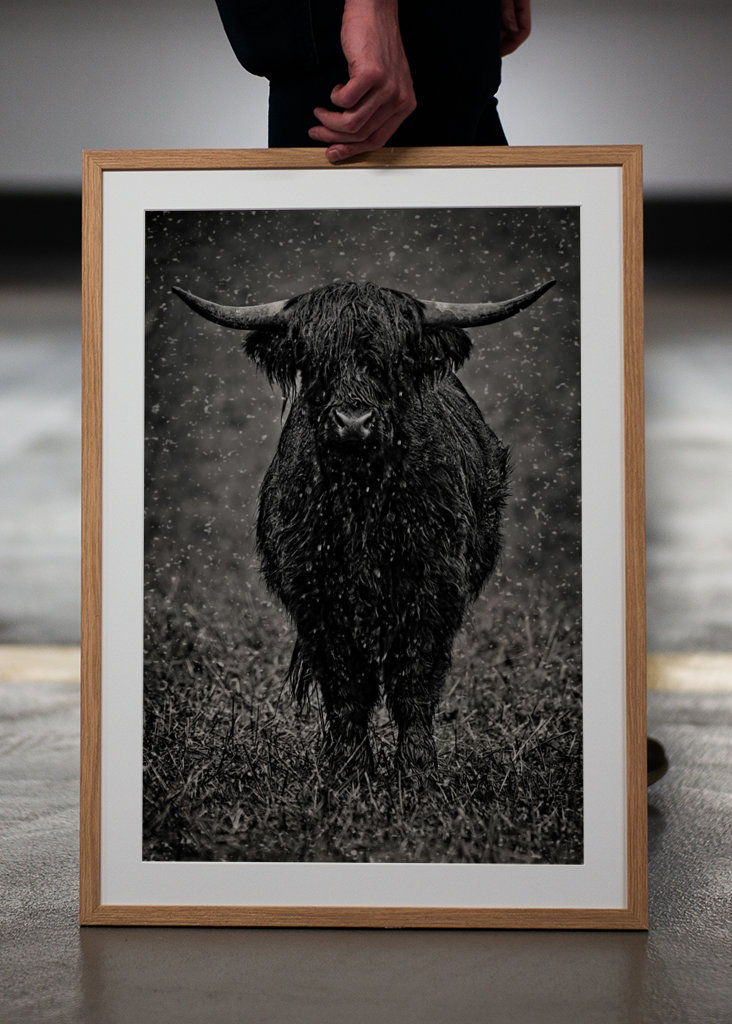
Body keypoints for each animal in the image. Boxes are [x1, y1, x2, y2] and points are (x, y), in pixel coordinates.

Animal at [173, 275, 554, 776]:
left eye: (393, 363)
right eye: (314, 361)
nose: (353, 423)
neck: (363, 502)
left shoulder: (434, 588)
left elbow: (415, 677)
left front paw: (416, 766)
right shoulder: (315, 594)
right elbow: (345, 683)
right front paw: (349, 765)